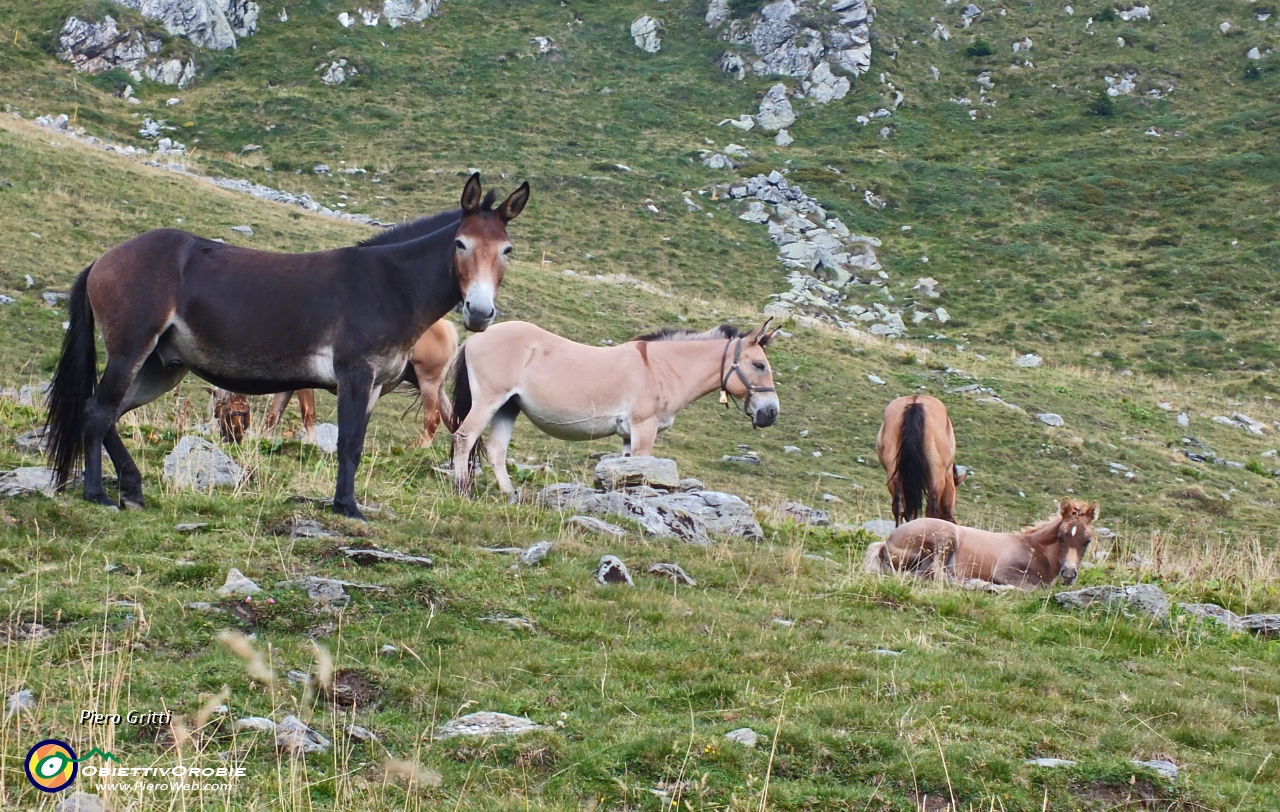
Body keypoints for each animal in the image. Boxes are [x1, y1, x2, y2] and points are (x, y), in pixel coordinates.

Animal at [262, 316, 458, 445]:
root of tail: (448, 327)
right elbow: (274, 415)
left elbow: (308, 414)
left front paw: (311, 445)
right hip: (436, 389)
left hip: (428, 384)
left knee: (432, 420)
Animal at [440, 321, 778, 494]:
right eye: (760, 365)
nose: (771, 413)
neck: (658, 367)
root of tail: (475, 338)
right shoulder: (644, 429)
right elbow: (643, 470)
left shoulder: (628, 436)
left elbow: (628, 472)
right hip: (489, 401)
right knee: (464, 437)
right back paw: (462, 488)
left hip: (508, 407)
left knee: (495, 450)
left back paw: (510, 495)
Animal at [870, 496, 1100, 584]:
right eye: (1061, 537)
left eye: (1087, 541)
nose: (1069, 573)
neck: (1033, 547)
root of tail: (887, 543)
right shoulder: (1005, 571)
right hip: (946, 537)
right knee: (937, 573)